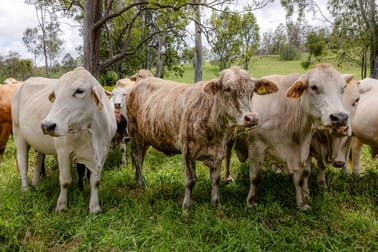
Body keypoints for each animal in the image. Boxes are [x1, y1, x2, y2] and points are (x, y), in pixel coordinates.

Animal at [12, 67, 116, 213]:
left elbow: (95, 182)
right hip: (19, 136)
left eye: (79, 91)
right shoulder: (63, 152)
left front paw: (95, 208)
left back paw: (36, 183)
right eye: (55, 95)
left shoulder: (103, 153)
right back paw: (25, 189)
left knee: (38, 160)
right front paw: (61, 206)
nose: (47, 125)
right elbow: (65, 181)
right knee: (23, 163)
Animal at [126, 66, 278, 209]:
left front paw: (216, 204)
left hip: (146, 135)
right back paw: (141, 183)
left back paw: (137, 178)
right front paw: (186, 207)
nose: (252, 118)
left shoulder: (218, 154)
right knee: (136, 156)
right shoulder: (187, 152)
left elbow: (215, 180)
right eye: (227, 89)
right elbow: (190, 181)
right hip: (134, 130)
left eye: (252, 90)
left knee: (141, 155)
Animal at [233, 64, 352, 210]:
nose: (340, 117)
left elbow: (300, 179)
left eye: (343, 88)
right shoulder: (257, 147)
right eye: (314, 87)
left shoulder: (302, 150)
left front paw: (302, 203)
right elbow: (255, 178)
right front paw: (250, 202)